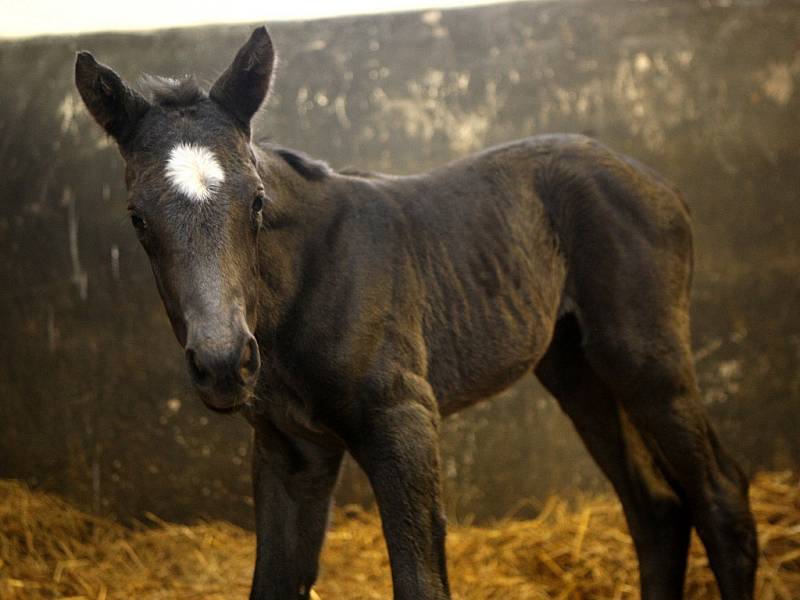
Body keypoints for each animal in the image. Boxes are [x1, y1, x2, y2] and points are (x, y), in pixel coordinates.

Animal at [76, 24, 756, 600]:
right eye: (137, 218)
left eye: (257, 202)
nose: (223, 364)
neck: (301, 290)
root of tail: (658, 183)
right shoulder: (292, 449)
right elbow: (273, 583)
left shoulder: (404, 420)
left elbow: (421, 583)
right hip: (575, 368)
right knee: (656, 511)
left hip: (644, 357)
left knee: (721, 497)